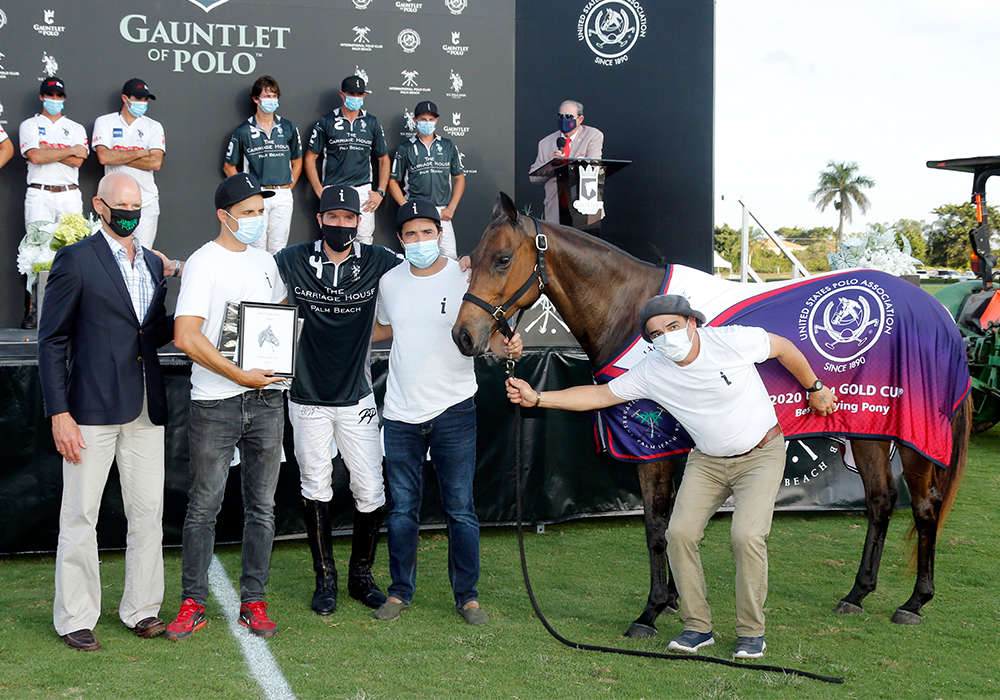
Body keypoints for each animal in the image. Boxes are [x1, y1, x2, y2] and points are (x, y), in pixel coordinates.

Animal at [454, 193, 968, 640]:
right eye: (472, 259)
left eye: (503, 259)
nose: (464, 335)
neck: (631, 311)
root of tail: (937, 310)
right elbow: (670, 522)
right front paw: (673, 600)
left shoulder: (653, 447)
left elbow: (656, 527)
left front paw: (651, 610)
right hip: (868, 431)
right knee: (880, 501)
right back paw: (857, 593)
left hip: (912, 440)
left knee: (924, 507)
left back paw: (914, 601)